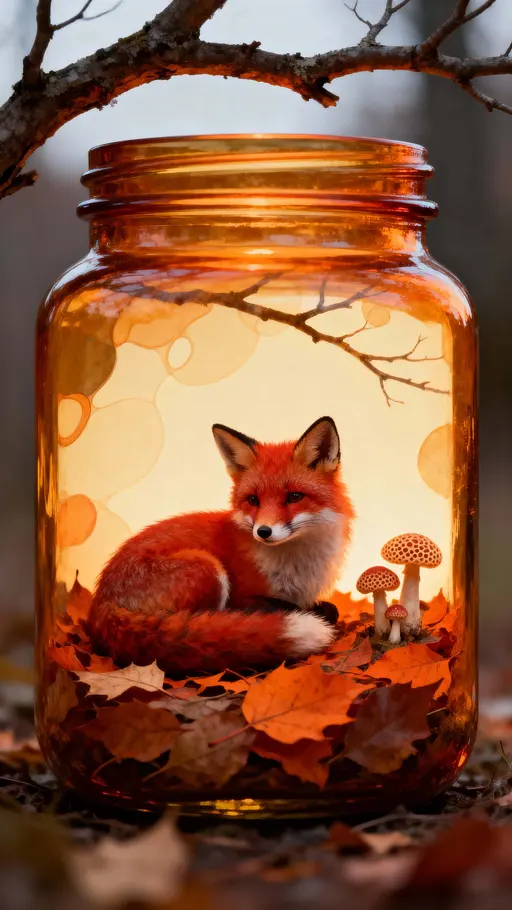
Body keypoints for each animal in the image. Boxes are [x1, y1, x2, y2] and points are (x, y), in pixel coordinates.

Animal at [88, 416, 354, 674]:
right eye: (253, 500)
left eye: (294, 497)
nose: (263, 531)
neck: (298, 564)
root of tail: (100, 602)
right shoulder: (244, 595)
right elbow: (306, 608)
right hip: (206, 569)